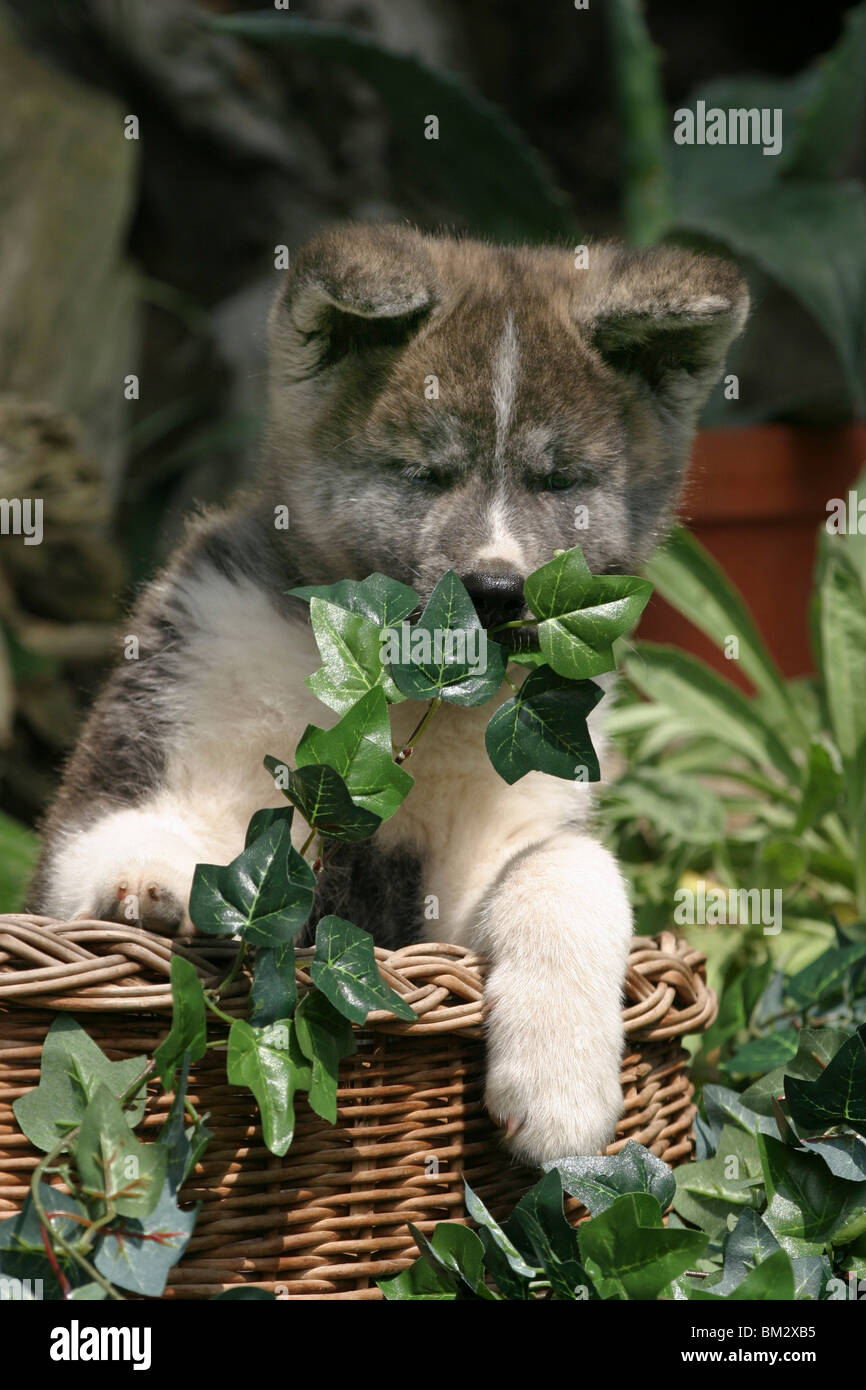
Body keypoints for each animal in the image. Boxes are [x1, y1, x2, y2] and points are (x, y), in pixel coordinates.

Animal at [30, 225, 750, 1162]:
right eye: (424, 473)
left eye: (559, 482)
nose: (495, 590)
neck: (393, 695)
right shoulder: (118, 779)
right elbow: (122, 839)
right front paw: (156, 881)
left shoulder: (484, 864)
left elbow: (570, 870)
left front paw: (559, 1086)